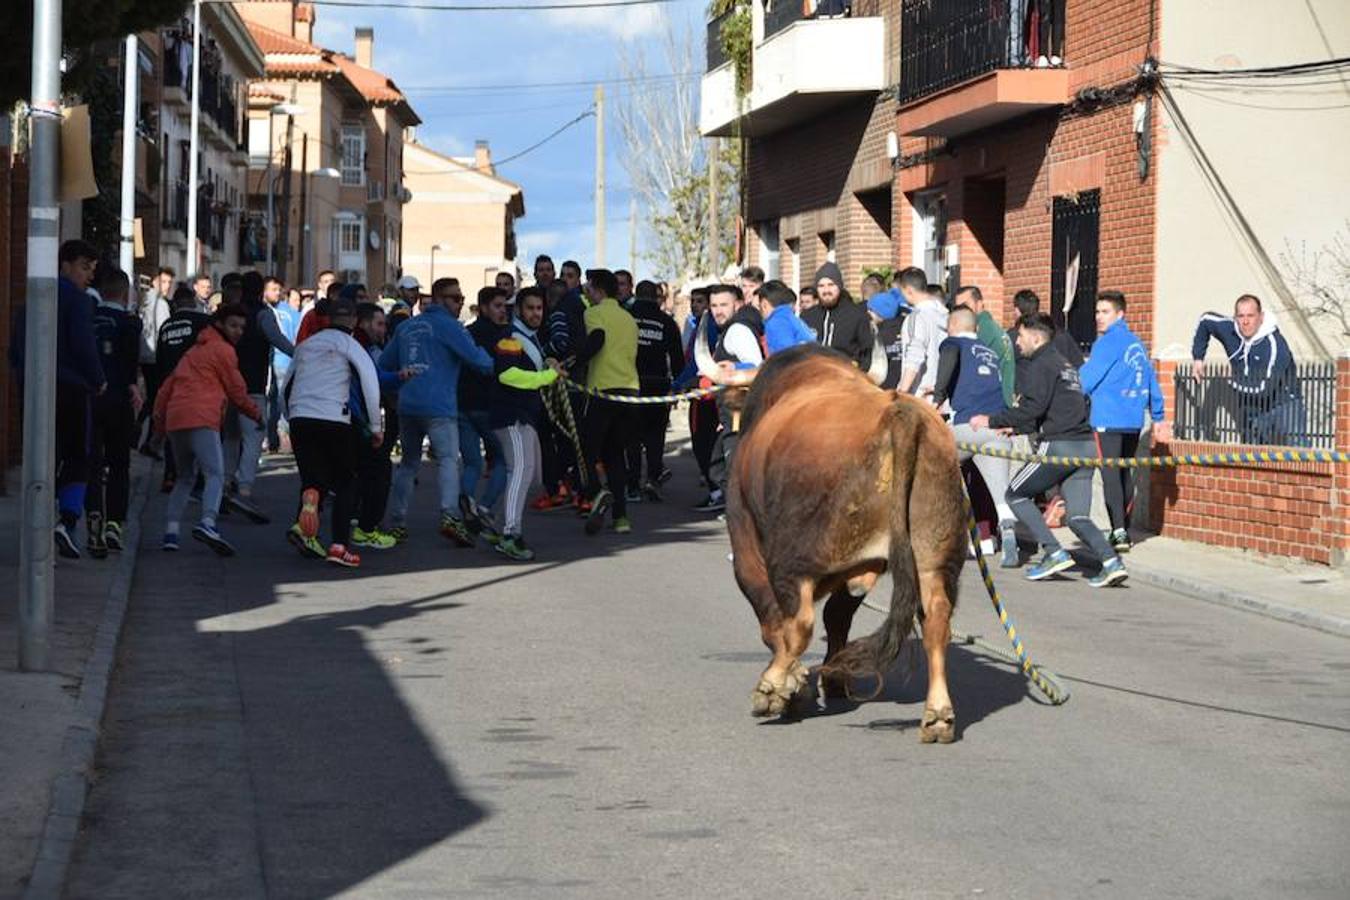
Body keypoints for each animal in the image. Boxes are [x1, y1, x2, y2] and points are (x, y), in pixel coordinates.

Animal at [707, 334, 972, 744]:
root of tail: (898, 412)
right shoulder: (860, 567)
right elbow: (838, 617)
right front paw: (830, 679)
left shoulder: (747, 543)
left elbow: (775, 622)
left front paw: (794, 684)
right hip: (935, 557)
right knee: (936, 620)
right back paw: (939, 714)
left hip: (792, 557)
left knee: (798, 620)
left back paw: (772, 686)